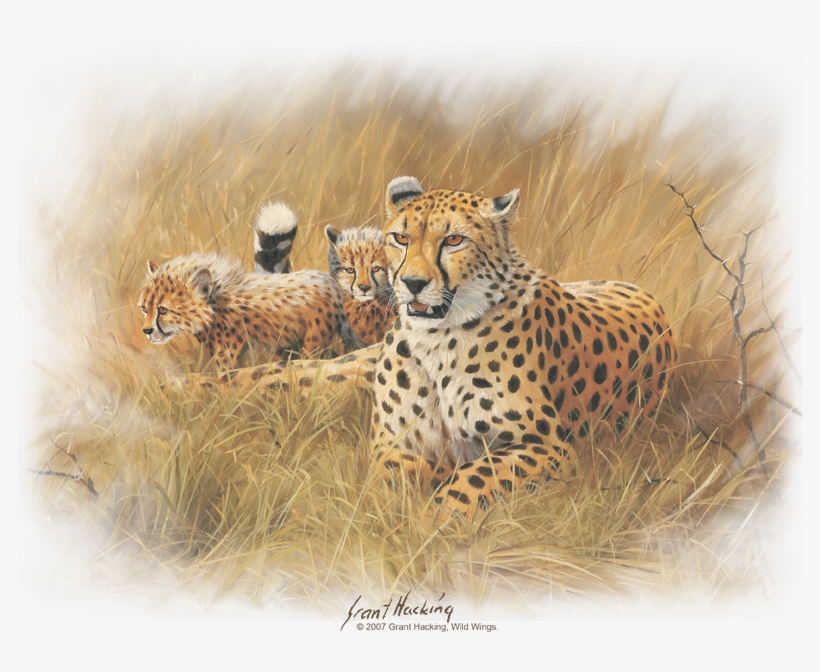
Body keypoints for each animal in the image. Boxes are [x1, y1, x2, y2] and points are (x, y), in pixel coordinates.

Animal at [196, 177, 678, 518]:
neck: (439, 339)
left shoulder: (548, 447)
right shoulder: (395, 442)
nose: (412, 283)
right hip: (342, 369)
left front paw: (437, 522)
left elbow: (474, 480)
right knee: (263, 377)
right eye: (401, 239)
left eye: (454, 240)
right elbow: (394, 474)